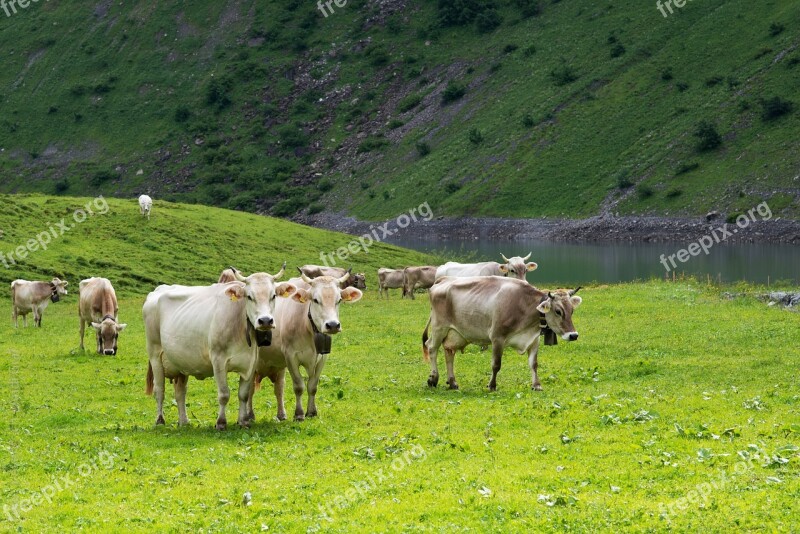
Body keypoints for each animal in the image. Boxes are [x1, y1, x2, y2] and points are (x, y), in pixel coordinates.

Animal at [143, 266, 294, 432]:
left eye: (273, 296)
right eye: (249, 296)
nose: (265, 320)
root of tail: (159, 289)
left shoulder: (250, 362)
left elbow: (244, 394)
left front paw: (243, 421)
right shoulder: (218, 360)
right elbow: (224, 394)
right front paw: (221, 422)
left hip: (181, 362)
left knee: (180, 393)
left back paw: (184, 421)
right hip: (155, 354)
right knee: (159, 390)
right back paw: (160, 420)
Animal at [422, 276, 584, 394]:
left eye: (572, 310)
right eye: (558, 311)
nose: (573, 335)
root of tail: (443, 279)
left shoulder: (534, 339)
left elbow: (534, 364)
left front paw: (537, 385)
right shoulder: (497, 337)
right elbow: (496, 364)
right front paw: (492, 385)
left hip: (454, 334)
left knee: (449, 352)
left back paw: (452, 382)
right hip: (439, 327)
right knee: (431, 348)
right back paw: (433, 378)